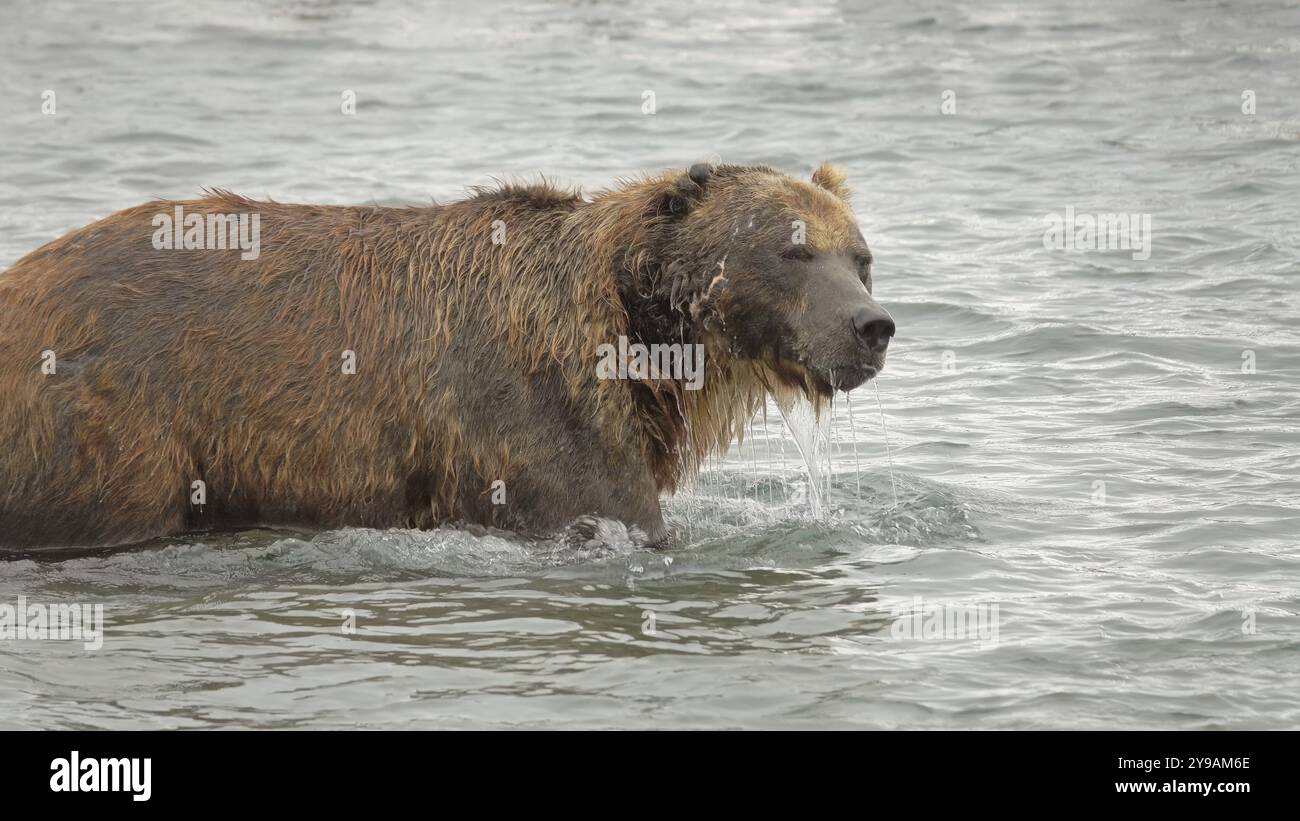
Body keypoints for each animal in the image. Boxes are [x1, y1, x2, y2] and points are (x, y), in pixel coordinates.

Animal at [0, 161, 894, 550]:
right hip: (107, 421)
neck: (638, 341)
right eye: (793, 248)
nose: (872, 326)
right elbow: (607, 508)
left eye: (861, 255)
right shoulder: (538, 414)